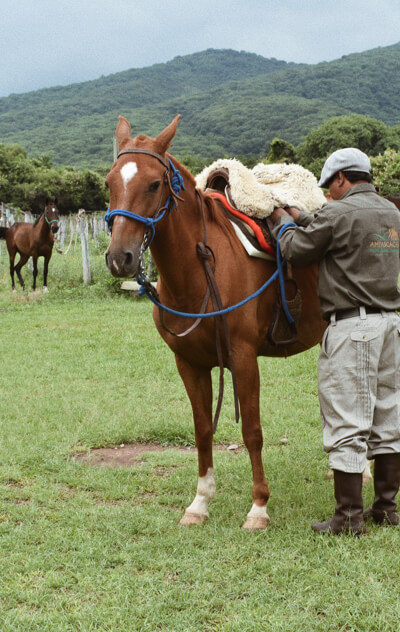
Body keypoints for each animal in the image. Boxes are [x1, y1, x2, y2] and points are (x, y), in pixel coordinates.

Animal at [104, 116, 326, 532]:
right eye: (109, 183)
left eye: (154, 184)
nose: (119, 257)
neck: (199, 270)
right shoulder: (189, 363)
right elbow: (203, 429)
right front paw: (200, 502)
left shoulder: (243, 357)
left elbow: (252, 431)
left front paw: (258, 507)